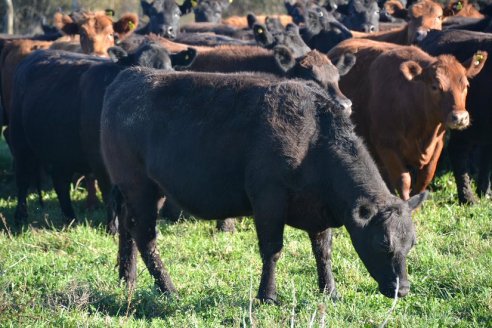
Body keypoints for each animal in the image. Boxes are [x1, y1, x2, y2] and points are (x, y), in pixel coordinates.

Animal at [101, 64, 426, 302]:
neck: (312, 138)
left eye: (411, 243)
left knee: (128, 229)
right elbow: (272, 249)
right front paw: (267, 295)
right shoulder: (268, 199)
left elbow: (323, 250)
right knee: (145, 237)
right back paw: (169, 289)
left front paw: (330, 291)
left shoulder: (319, 210)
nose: (403, 290)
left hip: (144, 191)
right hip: (138, 186)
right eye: (383, 243)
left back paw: (127, 279)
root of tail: (130, 75)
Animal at [328, 38, 486, 199]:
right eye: (435, 86)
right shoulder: (386, 145)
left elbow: (425, 178)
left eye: (466, 85)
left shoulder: (438, 144)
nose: (460, 117)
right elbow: (403, 180)